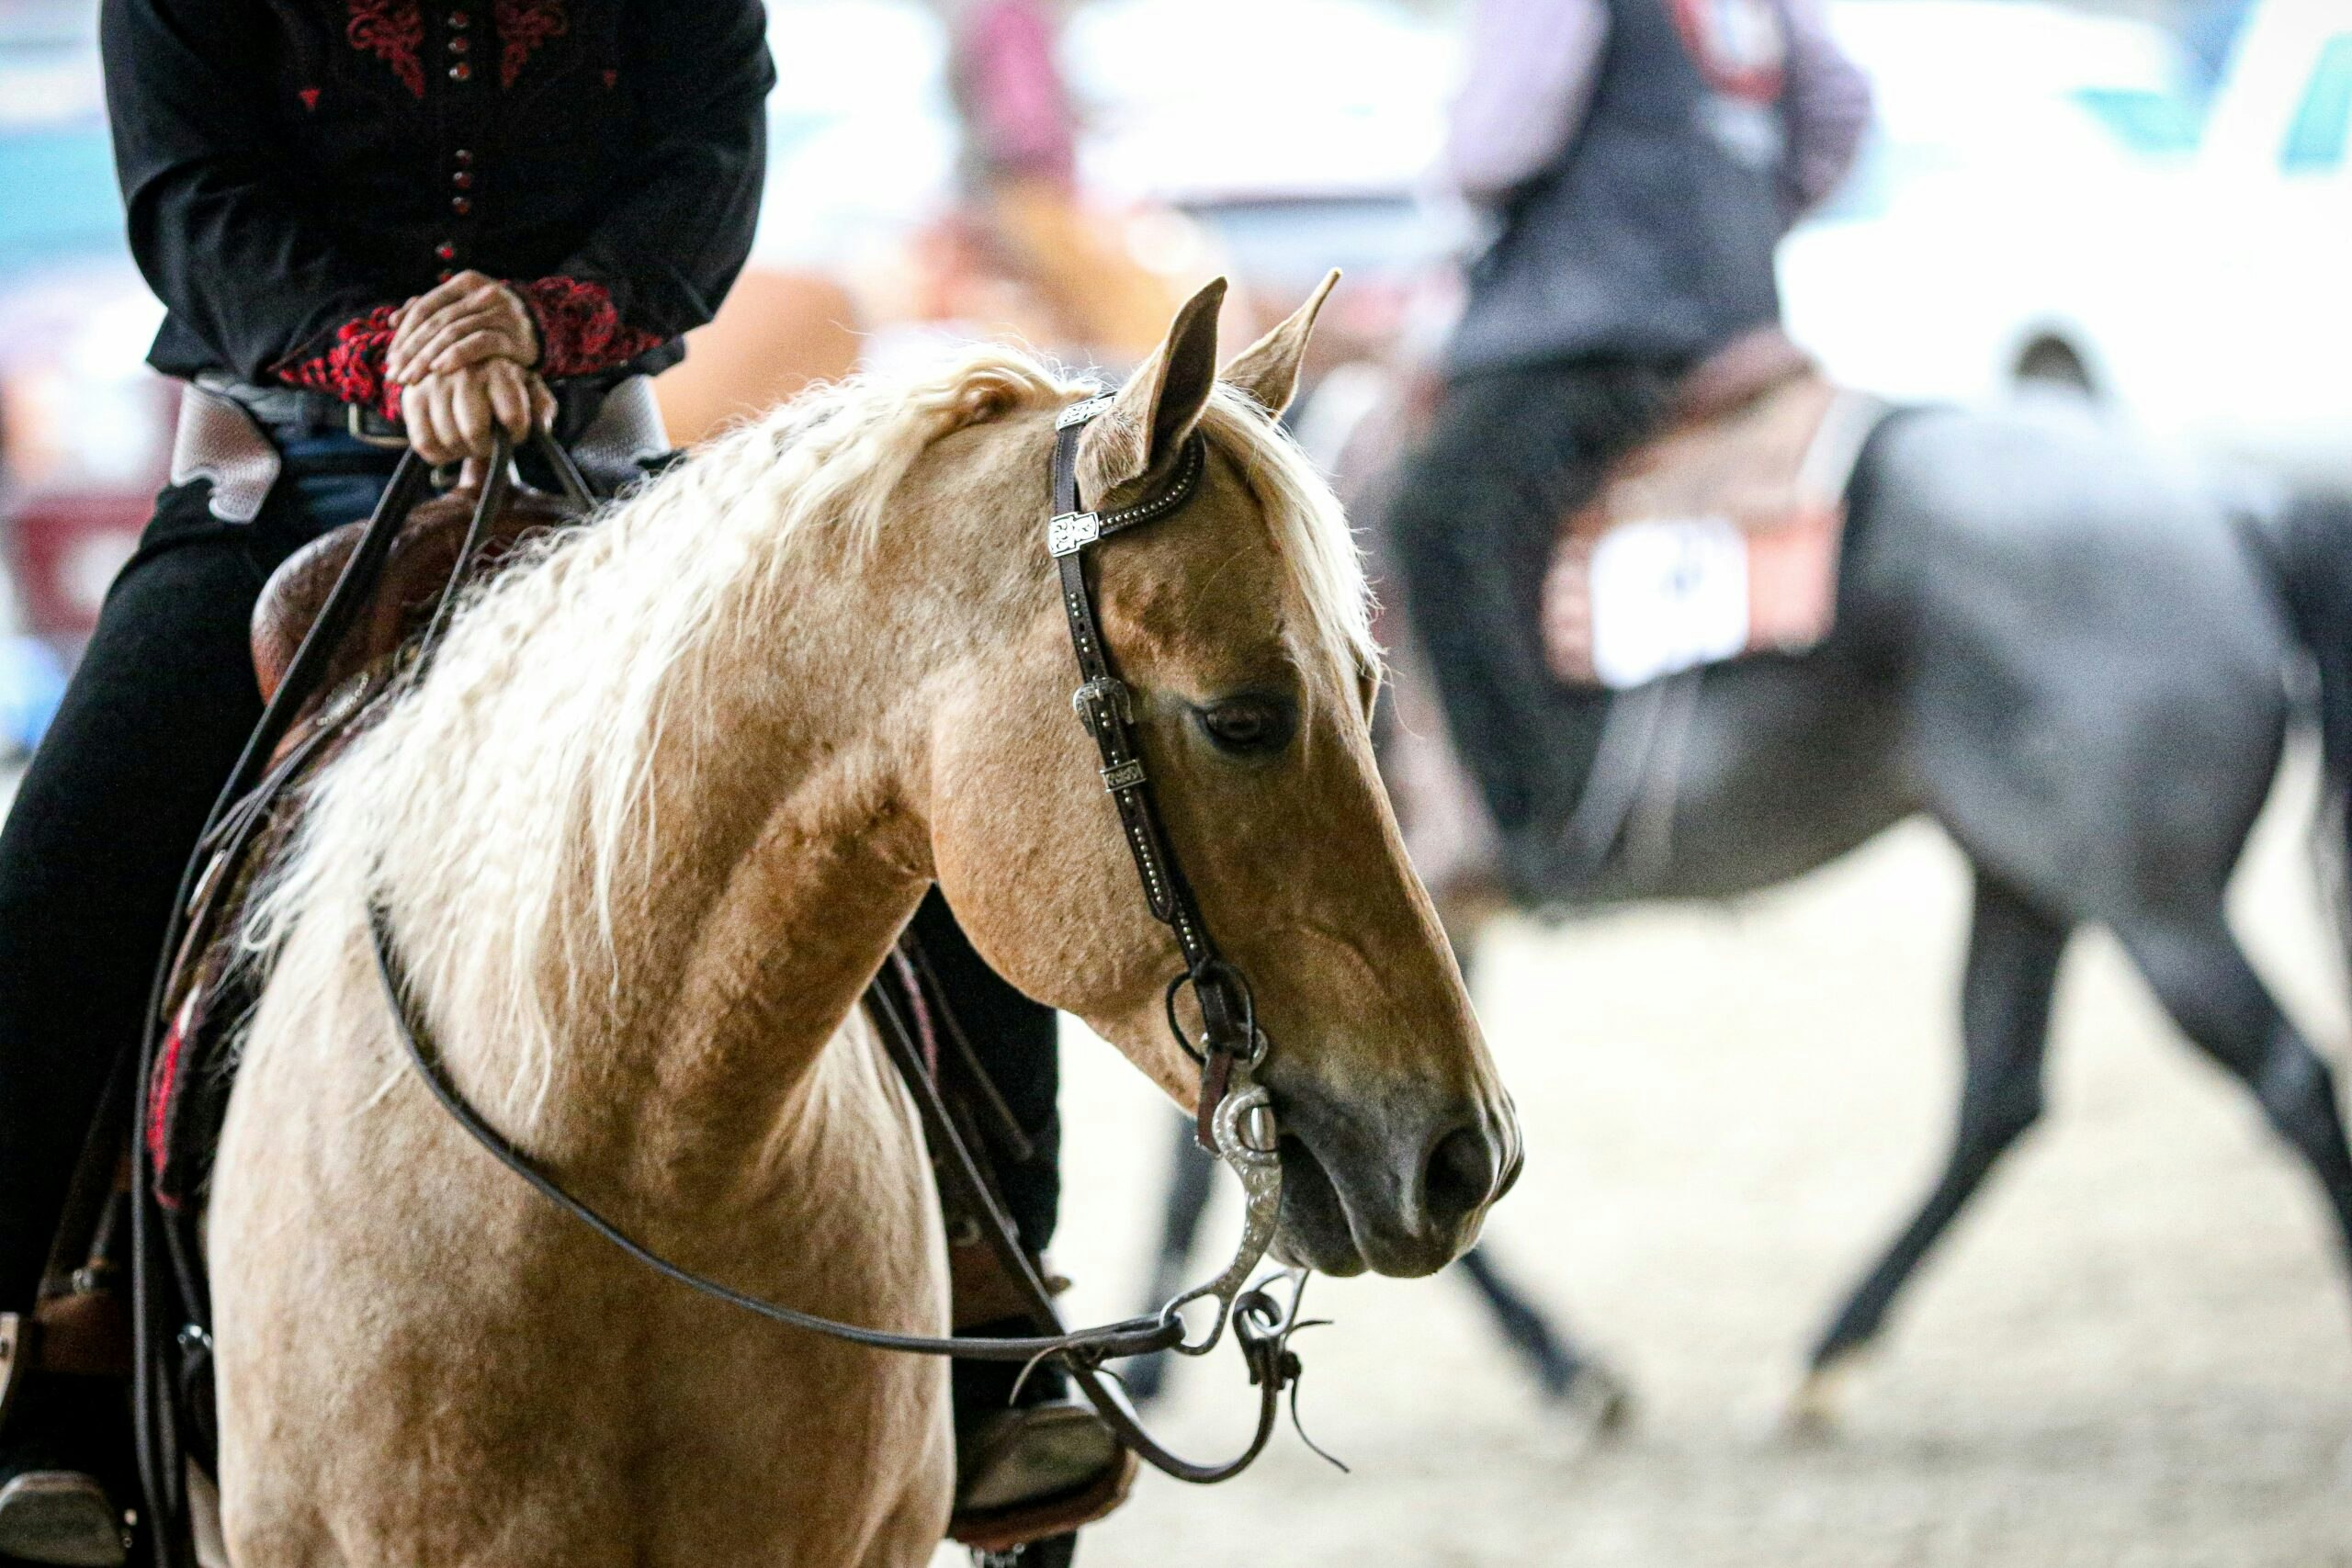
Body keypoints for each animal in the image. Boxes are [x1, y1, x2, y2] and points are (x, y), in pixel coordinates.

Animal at [1143, 393, 2352, 1424]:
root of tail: (2231, 506)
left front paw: (1561, 1366)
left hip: (2155, 903)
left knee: (2285, 1076)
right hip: (2027, 879)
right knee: (1999, 1095)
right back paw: (1829, 1351)